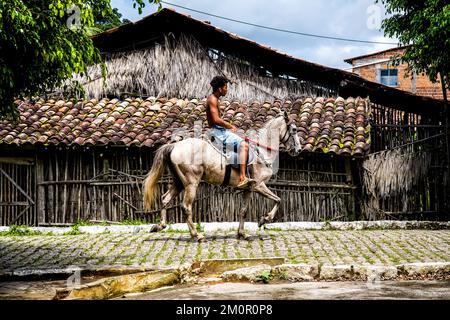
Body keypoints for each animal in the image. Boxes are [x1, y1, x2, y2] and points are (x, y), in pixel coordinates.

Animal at [142, 111, 300, 241]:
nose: (298, 150)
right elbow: (278, 200)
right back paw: (197, 235)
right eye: (294, 130)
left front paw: (242, 234)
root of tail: (175, 145)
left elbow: (243, 211)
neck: (261, 152)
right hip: (191, 183)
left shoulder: (248, 189)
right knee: (186, 207)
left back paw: (159, 226)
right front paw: (264, 219)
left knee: (165, 199)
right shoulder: (259, 186)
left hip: (179, 182)